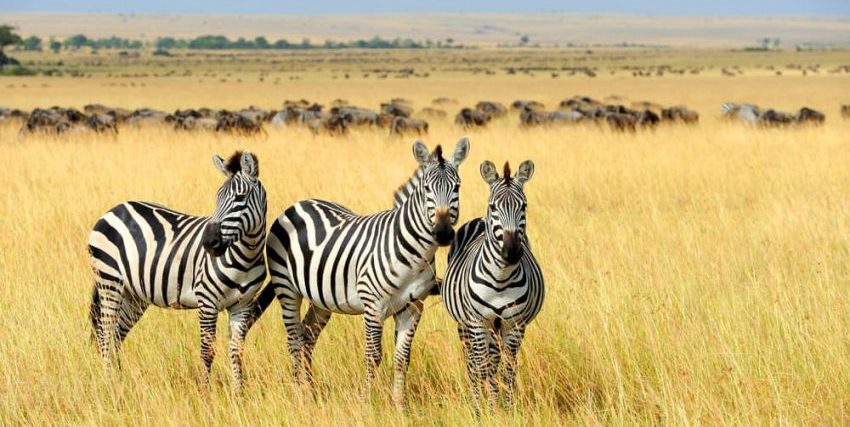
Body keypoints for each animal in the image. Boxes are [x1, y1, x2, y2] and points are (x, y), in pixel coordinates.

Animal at [87, 151, 267, 393]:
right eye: (217, 198)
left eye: (240, 198)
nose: (209, 243)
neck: (246, 257)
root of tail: (114, 209)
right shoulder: (207, 300)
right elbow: (207, 351)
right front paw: (205, 393)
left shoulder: (243, 305)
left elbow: (236, 352)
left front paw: (238, 395)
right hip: (110, 282)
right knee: (105, 335)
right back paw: (109, 385)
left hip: (133, 295)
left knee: (116, 336)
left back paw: (119, 383)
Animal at [253, 138, 469, 408]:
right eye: (426, 189)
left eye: (457, 187)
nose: (443, 233)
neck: (416, 254)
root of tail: (299, 203)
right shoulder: (373, 305)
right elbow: (373, 356)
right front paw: (366, 403)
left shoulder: (413, 307)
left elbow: (402, 359)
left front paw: (399, 406)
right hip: (287, 289)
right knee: (294, 339)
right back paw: (299, 394)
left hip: (321, 299)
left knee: (307, 337)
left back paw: (310, 391)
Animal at [441, 160, 544, 412]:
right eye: (493, 207)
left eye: (523, 206)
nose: (512, 251)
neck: (500, 278)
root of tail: (479, 218)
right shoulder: (477, 322)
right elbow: (481, 367)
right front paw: (481, 409)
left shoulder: (514, 324)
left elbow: (507, 369)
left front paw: (506, 408)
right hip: (466, 325)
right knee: (472, 361)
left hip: (497, 327)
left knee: (495, 360)